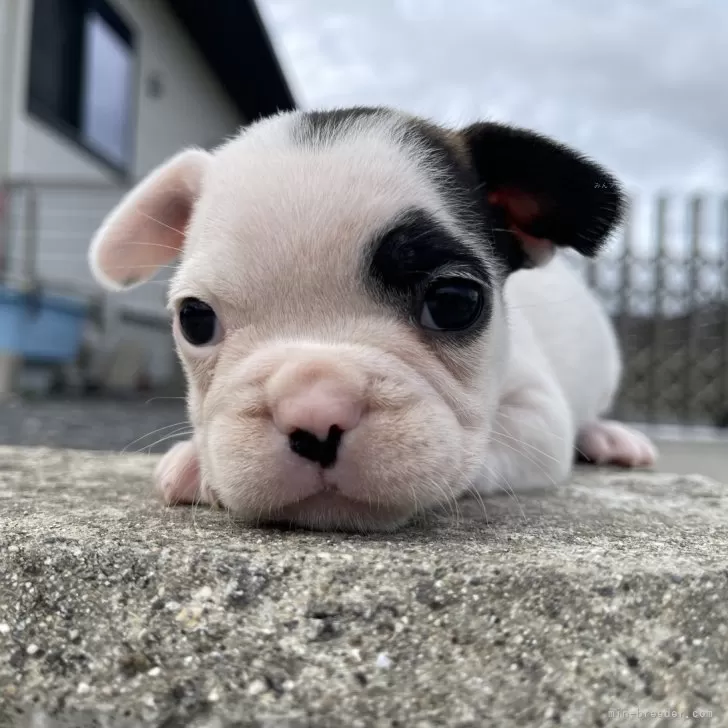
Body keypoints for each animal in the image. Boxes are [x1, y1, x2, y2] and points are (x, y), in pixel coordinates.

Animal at [88, 106, 656, 528]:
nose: (315, 412)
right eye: (195, 320)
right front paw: (195, 457)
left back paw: (610, 438)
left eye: (454, 303)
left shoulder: (540, 415)